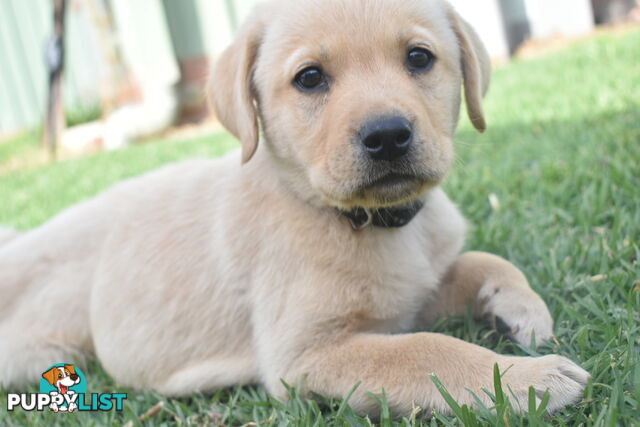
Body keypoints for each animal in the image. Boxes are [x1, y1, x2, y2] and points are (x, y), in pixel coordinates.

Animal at [1, 0, 592, 416]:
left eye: (419, 58)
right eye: (310, 77)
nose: (387, 135)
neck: (362, 220)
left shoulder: (411, 292)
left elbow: (482, 261)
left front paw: (522, 309)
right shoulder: (306, 355)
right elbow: (426, 352)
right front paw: (526, 381)